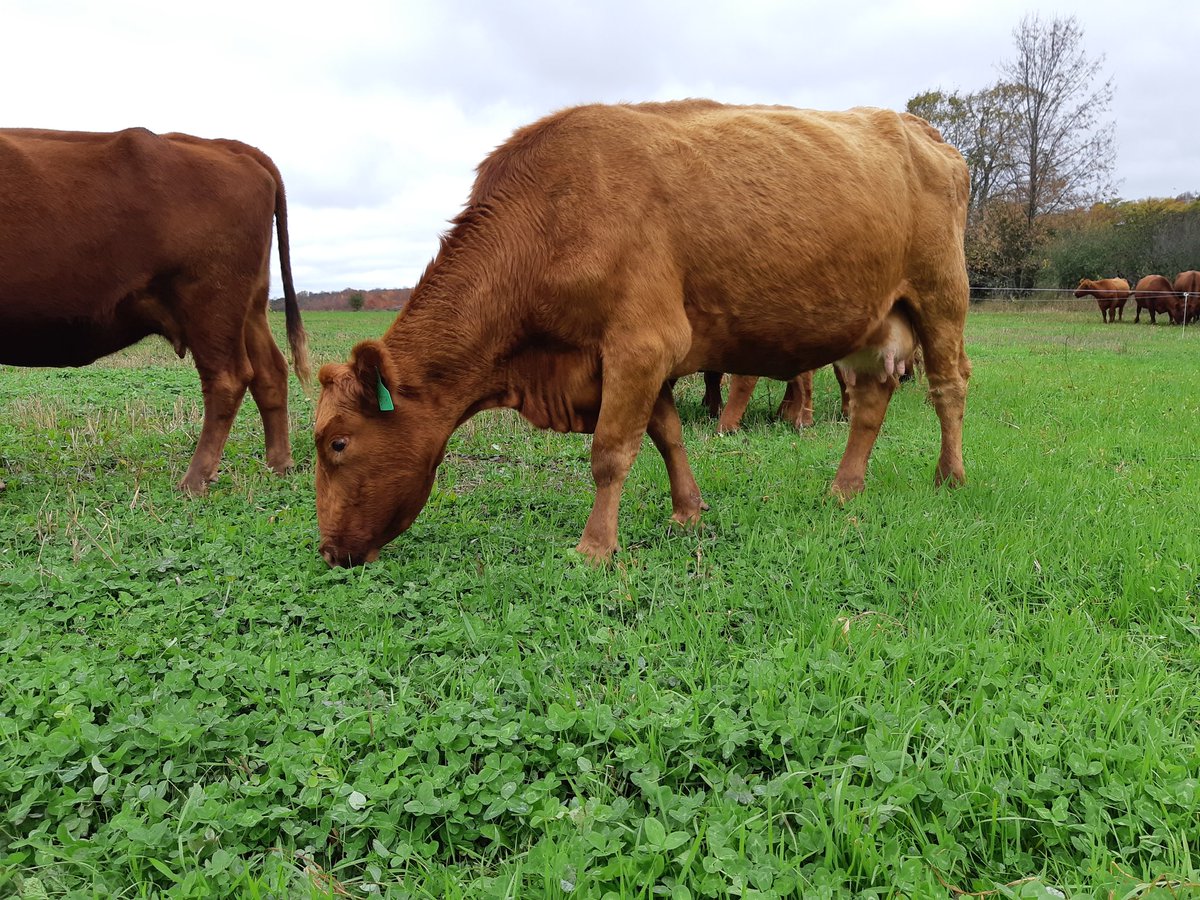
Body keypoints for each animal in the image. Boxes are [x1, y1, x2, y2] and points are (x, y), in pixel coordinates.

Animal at [0, 128, 310, 493]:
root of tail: (227, 146)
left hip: (210, 305)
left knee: (227, 379)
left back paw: (194, 481)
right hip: (250, 309)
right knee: (270, 372)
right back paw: (278, 466)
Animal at [314, 100, 971, 567]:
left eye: (337, 443)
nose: (328, 550)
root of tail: (922, 130)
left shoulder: (641, 344)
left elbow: (610, 452)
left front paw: (594, 549)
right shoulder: (628, 360)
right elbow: (667, 435)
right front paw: (688, 511)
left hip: (942, 299)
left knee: (949, 389)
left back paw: (950, 477)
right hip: (873, 324)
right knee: (869, 405)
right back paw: (844, 489)